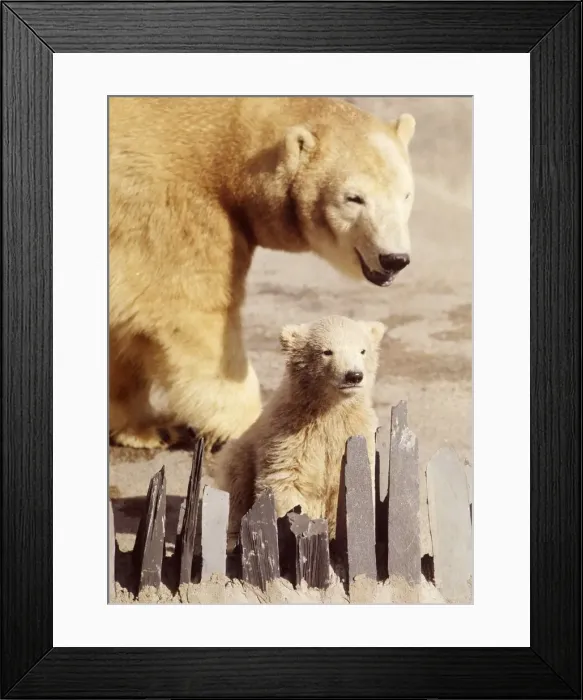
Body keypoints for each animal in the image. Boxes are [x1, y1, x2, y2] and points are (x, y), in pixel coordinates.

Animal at [108, 97, 414, 452]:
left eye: (406, 194)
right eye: (354, 198)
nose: (394, 259)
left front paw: (147, 428)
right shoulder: (172, 205)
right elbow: (193, 313)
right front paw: (242, 426)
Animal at [211, 314, 387, 543]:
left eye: (362, 350)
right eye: (327, 351)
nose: (354, 375)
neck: (328, 409)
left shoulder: (354, 431)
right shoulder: (289, 434)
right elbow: (287, 482)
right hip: (239, 457)